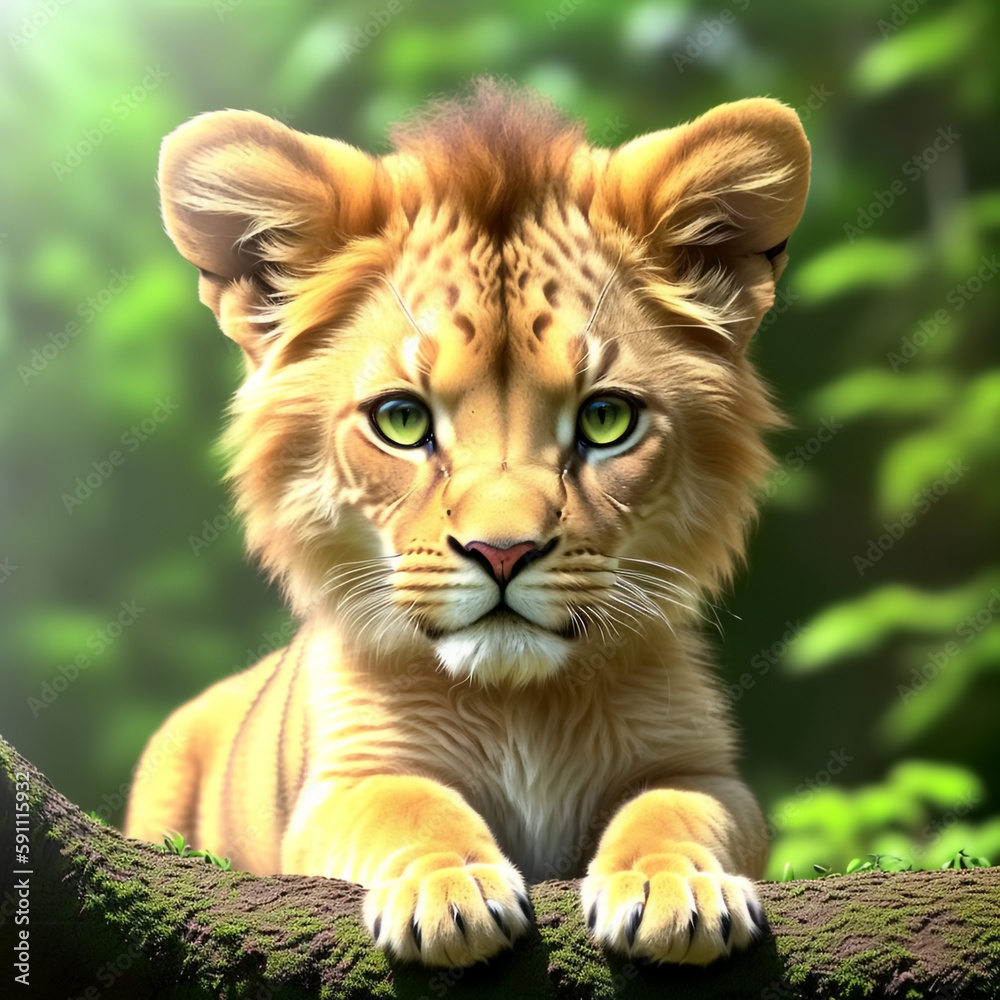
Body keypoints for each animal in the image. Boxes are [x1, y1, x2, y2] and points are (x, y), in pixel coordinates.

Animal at [124, 79, 810, 968]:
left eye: (607, 420)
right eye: (403, 420)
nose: (503, 551)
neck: (519, 707)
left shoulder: (704, 767)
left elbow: (675, 807)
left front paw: (675, 889)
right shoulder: (341, 786)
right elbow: (408, 804)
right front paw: (448, 892)